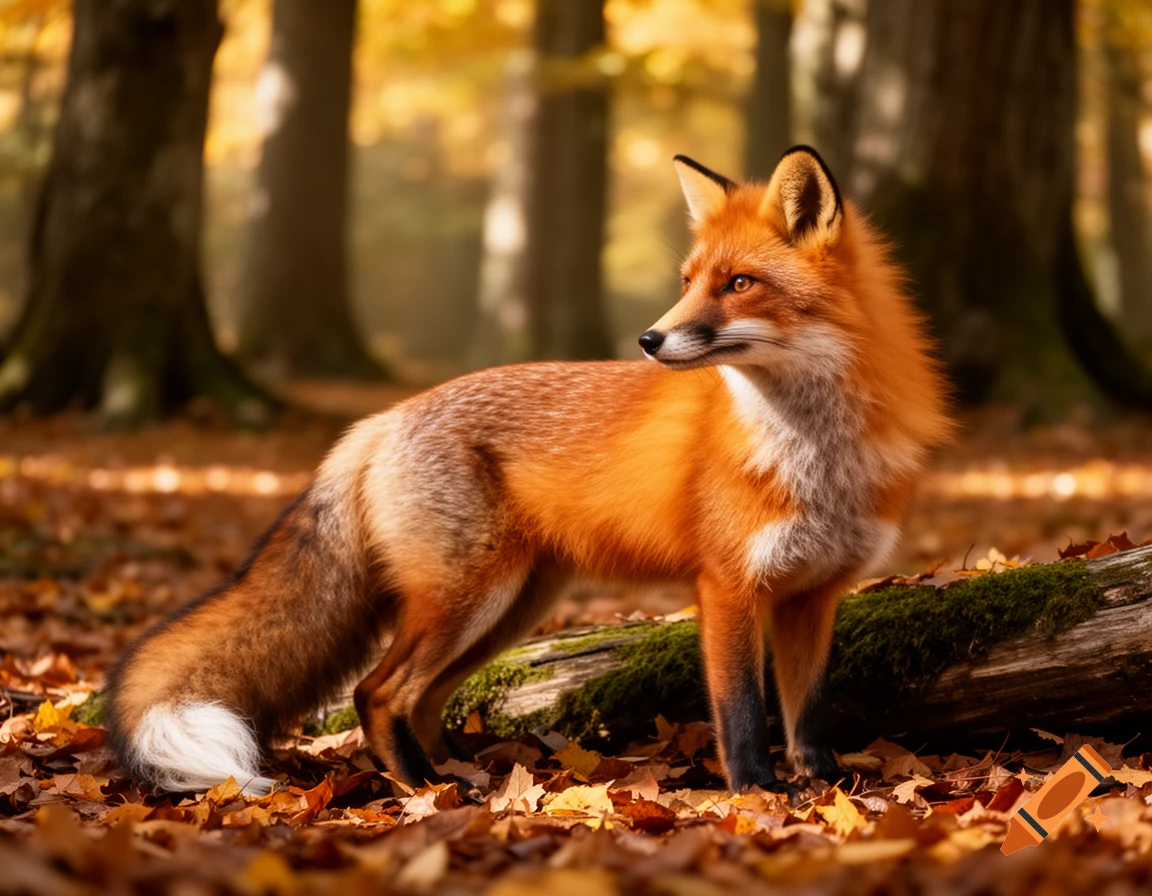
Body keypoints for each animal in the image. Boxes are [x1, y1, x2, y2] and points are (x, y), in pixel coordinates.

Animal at [105, 146, 950, 797]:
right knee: (377, 692)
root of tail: (377, 422)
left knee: (421, 700)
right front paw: (756, 794)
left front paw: (824, 785)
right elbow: (742, 709)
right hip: (467, 596)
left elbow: (809, 711)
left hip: (511, 605)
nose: (649, 339)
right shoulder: (728, 586)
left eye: (739, 283)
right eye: (688, 282)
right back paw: (423, 789)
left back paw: (463, 773)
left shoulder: (814, 592)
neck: (816, 452)